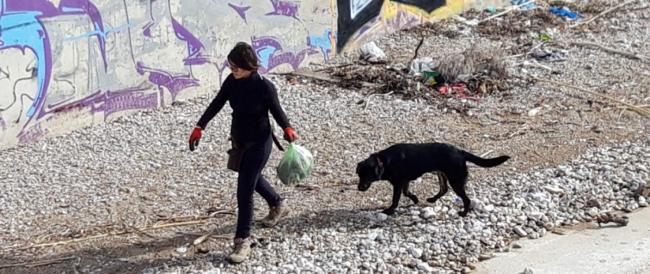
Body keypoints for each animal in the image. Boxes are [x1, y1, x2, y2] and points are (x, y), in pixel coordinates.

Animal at [356, 143, 508, 216]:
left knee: (466, 199)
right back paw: (432, 199)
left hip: (455, 180)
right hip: (441, 174)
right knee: (444, 189)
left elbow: (395, 199)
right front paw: (415, 199)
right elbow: (407, 192)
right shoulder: (404, 181)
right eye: (359, 174)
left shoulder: (398, 183)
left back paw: (463, 213)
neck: (384, 161)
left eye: (366, 175)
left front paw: (389, 210)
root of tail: (461, 152)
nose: (359, 188)